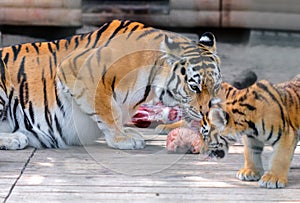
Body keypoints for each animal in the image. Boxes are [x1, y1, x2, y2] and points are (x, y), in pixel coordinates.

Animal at [0, 19, 220, 150]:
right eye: (194, 87)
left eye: (215, 87)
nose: (208, 114)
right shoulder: (77, 68)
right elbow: (108, 110)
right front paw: (122, 139)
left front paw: (127, 132)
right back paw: (15, 138)